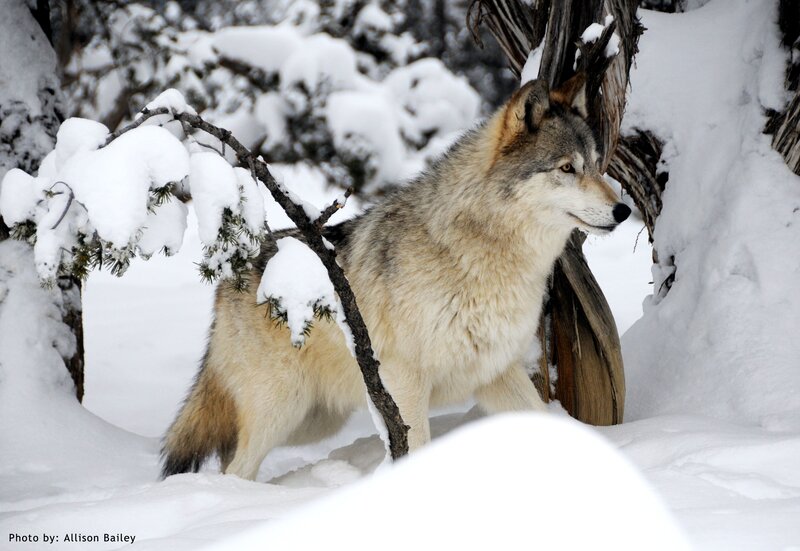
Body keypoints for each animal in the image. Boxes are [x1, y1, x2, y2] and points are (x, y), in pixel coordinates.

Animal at [161, 76, 631, 480]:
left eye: (596, 166)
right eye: (566, 168)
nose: (624, 210)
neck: (481, 252)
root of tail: (231, 274)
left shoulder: (495, 372)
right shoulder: (404, 381)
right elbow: (415, 447)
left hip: (315, 419)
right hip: (284, 410)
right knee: (235, 467)